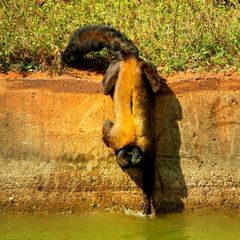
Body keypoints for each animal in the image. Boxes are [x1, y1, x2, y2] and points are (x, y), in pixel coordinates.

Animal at [61, 23, 163, 213]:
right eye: (126, 165)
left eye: (131, 164)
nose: (128, 170)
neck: (131, 143)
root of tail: (130, 60)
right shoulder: (120, 141)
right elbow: (107, 128)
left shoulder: (144, 148)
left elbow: (148, 167)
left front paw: (146, 195)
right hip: (120, 66)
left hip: (122, 66)